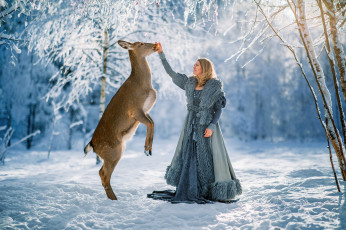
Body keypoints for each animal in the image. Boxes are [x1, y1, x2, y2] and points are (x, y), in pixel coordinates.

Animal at [84, 40, 159, 200]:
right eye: (141, 43)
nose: (155, 46)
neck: (144, 85)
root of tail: (93, 145)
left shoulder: (145, 111)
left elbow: (153, 123)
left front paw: (149, 148)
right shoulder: (135, 109)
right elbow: (150, 124)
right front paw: (147, 149)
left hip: (115, 151)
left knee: (101, 172)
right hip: (114, 151)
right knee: (104, 174)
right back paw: (115, 199)